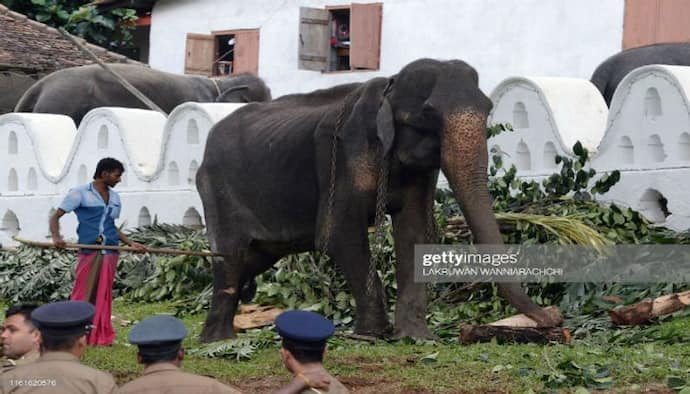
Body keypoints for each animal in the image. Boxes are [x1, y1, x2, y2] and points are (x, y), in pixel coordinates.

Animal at [195, 57, 560, 342]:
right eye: (428, 114)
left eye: (488, 109)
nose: (553, 320)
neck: (390, 84)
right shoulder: (343, 154)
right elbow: (338, 234)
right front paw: (371, 334)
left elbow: (415, 233)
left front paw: (416, 337)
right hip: (216, 190)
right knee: (230, 256)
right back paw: (217, 340)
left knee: (252, 257)